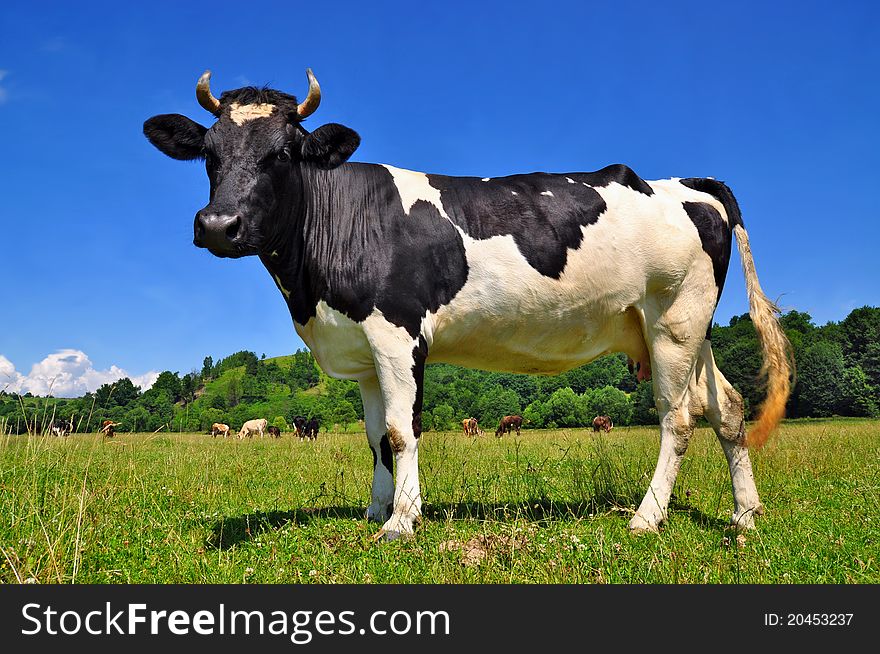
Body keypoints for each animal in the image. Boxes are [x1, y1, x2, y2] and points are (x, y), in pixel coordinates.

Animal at [143, 69, 792, 544]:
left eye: (282, 152)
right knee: (729, 409)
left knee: (678, 418)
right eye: (209, 153)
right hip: (689, 327)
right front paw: (377, 510)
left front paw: (402, 522)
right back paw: (745, 515)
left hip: (674, 322)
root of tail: (686, 183)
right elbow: (375, 435)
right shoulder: (363, 349)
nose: (218, 225)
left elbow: (402, 431)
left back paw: (647, 517)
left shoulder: (398, 333)